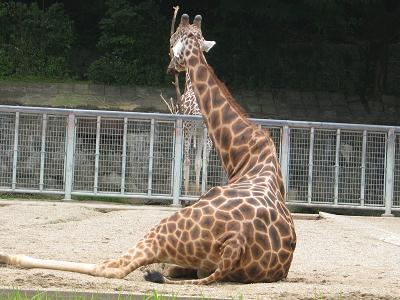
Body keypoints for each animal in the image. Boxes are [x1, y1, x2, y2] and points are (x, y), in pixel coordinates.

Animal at [0, 14, 296, 284]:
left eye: (172, 41)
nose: (170, 67)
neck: (245, 153)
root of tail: (236, 241)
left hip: (162, 230)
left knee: (111, 266)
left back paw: (9, 256)